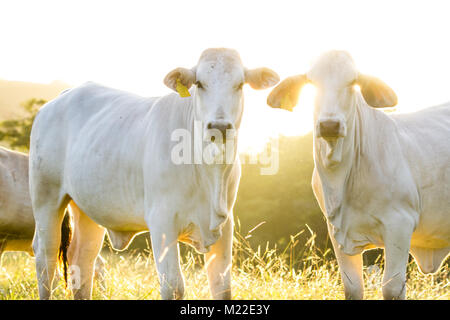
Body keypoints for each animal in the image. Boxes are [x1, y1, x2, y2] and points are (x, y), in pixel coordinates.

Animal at [29, 48, 280, 300]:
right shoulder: (162, 221)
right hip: (46, 199)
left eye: (240, 84)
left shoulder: (224, 225)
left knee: (82, 261)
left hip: (88, 210)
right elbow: (174, 286)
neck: (209, 172)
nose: (219, 127)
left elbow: (222, 287)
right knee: (46, 258)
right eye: (200, 83)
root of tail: (63, 96)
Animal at [268, 50, 450, 300]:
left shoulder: (400, 225)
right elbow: (352, 287)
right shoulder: (337, 232)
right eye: (312, 83)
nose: (329, 125)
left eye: (352, 82)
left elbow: (392, 287)